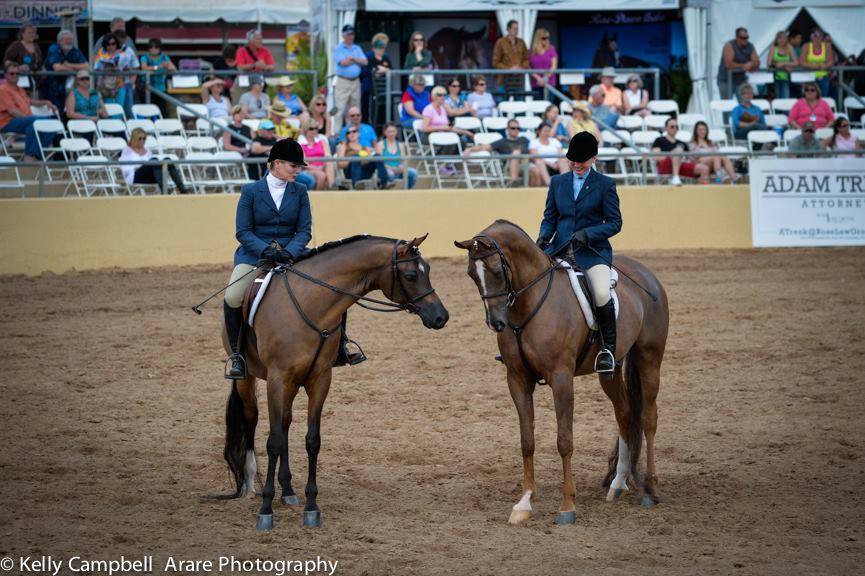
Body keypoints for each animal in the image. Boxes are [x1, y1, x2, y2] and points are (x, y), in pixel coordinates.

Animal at [220, 234, 449, 530]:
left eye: (428, 270)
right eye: (410, 275)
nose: (441, 316)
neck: (310, 305)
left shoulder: (320, 379)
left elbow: (311, 440)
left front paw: (311, 507)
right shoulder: (277, 379)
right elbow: (273, 442)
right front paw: (266, 510)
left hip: (292, 385)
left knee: (285, 424)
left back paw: (288, 491)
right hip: (249, 380)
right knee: (252, 420)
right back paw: (251, 484)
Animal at [454, 220, 669, 525]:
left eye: (496, 271)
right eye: (471, 274)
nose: (496, 322)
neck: (528, 304)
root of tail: (648, 275)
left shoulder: (561, 378)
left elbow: (564, 441)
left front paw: (568, 505)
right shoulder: (517, 379)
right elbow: (527, 440)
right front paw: (524, 502)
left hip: (649, 358)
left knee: (649, 418)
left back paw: (649, 488)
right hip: (611, 370)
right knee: (625, 414)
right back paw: (617, 484)